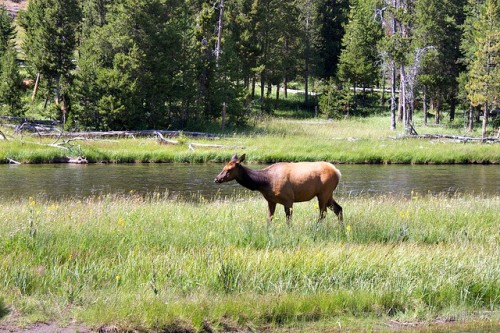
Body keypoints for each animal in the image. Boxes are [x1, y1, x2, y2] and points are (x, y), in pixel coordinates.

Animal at [213, 154, 342, 224]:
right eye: (223, 167)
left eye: (229, 169)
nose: (216, 179)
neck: (265, 183)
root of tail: (337, 172)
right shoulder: (271, 200)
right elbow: (269, 218)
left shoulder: (289, 199)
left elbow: (288, 219)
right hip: (328, 194)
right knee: (338, 209)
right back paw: (341, 229)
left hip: (323, 192)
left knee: (323, 213)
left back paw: (316, 227)